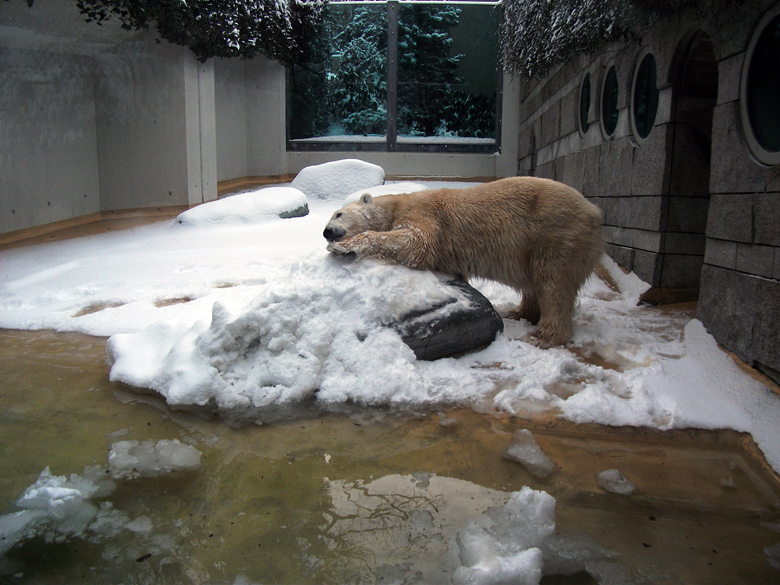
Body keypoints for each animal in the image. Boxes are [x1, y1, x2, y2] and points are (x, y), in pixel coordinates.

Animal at [322, 175, 604, 346]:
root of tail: (595, 213)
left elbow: (417, 241)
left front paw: (343, 247)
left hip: (555, 233)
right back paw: (518, 311)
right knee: (535, 284)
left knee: (553, 283)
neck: (395, 204)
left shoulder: (421, 212)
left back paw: (544, 335)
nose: (326, 231)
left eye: (338, 214)